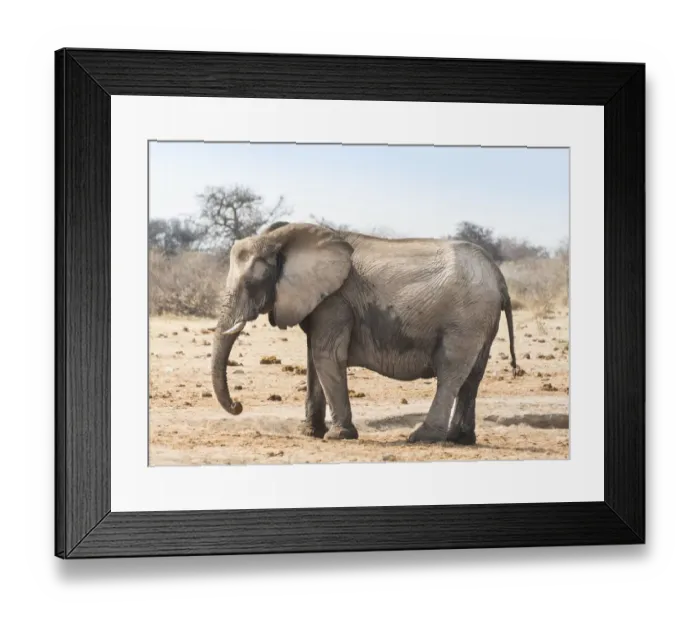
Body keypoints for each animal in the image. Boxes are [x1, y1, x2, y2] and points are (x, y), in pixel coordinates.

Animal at [211, 221, 517, 444]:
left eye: (251, 283)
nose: (238, 405)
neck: (281, 239)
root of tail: (498, 274)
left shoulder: (335, 301)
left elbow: (326, 356)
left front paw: (338, 436)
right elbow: (313, 359)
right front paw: (310, 433)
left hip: (465, 320)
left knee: (451, 371)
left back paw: (422, 437)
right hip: (482, 321)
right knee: (473, 377)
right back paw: (460, 439)